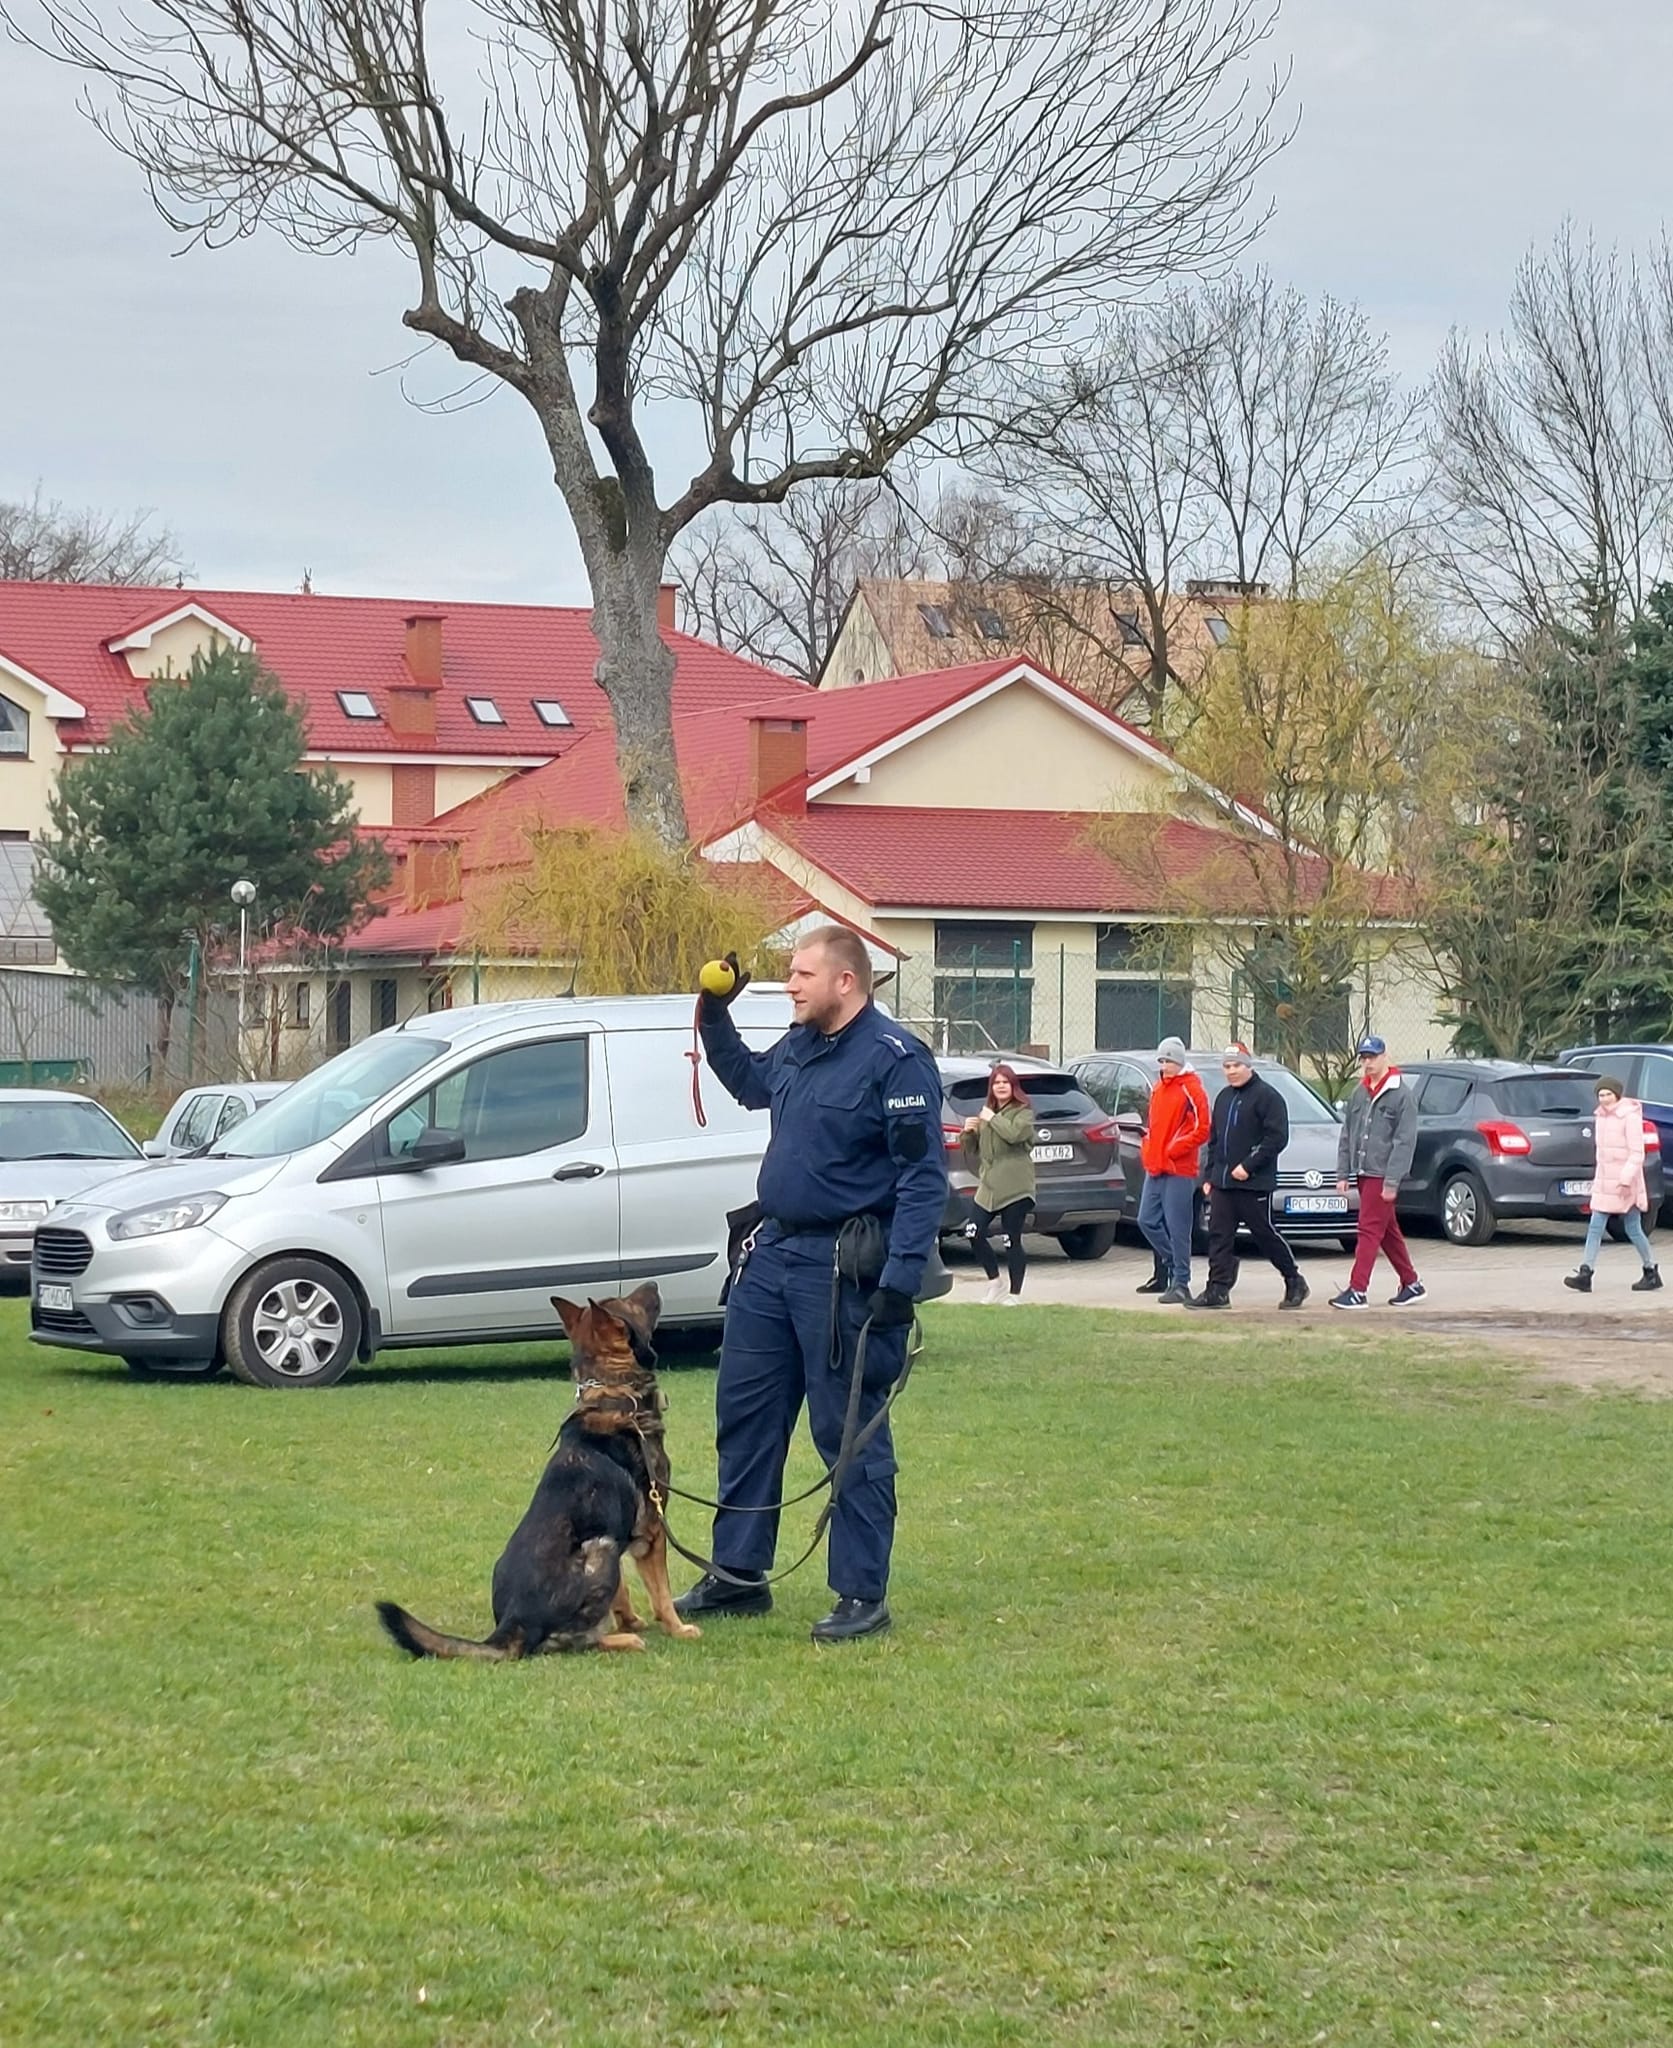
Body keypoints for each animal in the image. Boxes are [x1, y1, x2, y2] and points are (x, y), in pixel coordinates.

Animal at [375, 1282, 701, 1658]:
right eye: (629, 1303)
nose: (654, 1283)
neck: (614, 1393)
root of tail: (511, 1624)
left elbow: (621, 1594)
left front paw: (630, 1620)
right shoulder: (651, 1533)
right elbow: (661, 1593)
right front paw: (677, 1628)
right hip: (601, 1548)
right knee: (570, 1642)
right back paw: (621, 1640)